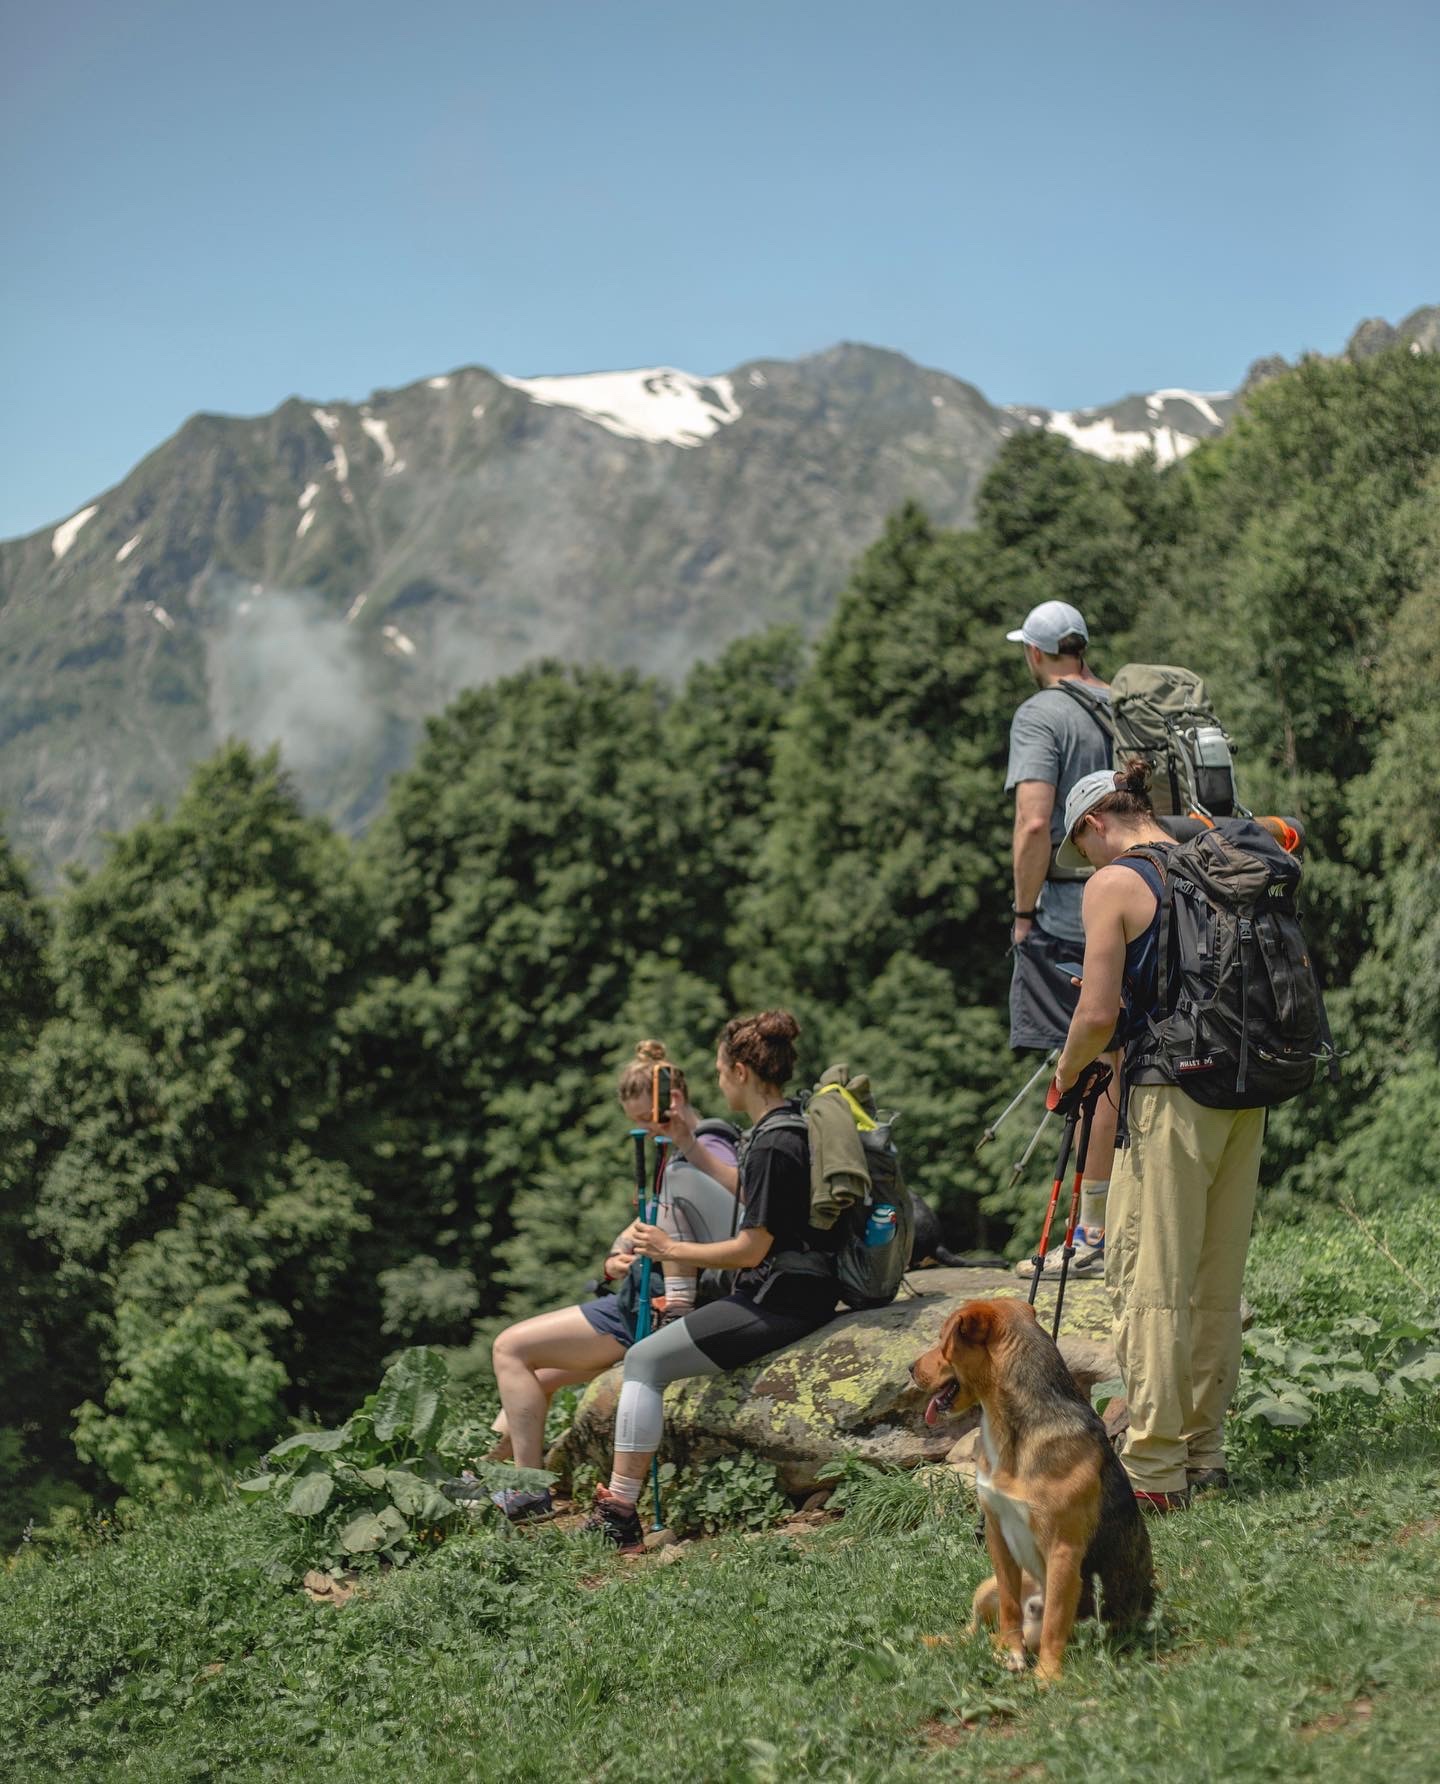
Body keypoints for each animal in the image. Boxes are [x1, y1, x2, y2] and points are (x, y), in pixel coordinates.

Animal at [920, 1305, 1156, 1676]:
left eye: (942, 1339)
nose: (909, 1368)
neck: (1011, 1434)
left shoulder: (1062, 1551)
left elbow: (1054, 1626)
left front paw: (1046, 1677)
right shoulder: (997, 1536)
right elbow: (1009, 1608)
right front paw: (1014, 1651)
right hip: (985, 1587)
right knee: (974, 1631)